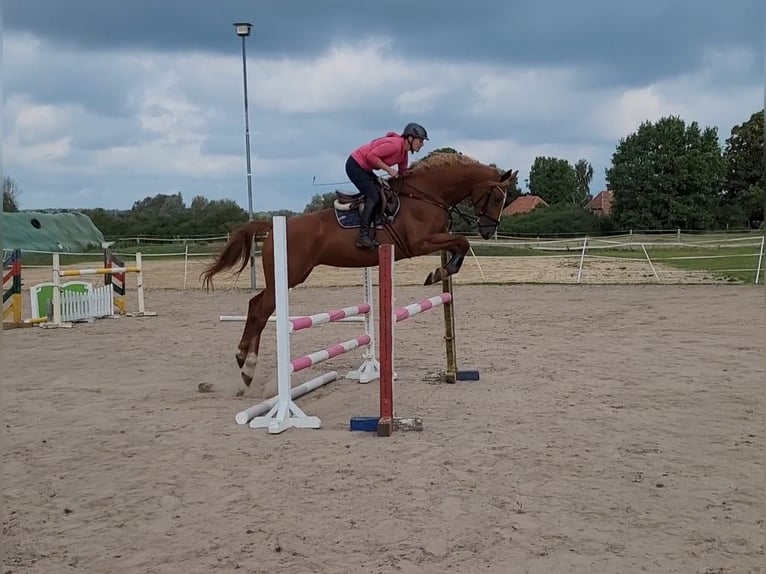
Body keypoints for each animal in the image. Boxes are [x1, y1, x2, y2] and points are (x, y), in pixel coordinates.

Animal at [201, 153, 520, 388]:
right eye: (496, 198)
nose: (488, 231)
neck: (427, 196)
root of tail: (272, 225)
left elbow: (459, 245)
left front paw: (441, 271)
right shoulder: (421, 243)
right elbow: (462, 242)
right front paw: (439, 273)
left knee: (255, 305)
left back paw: (243, 360)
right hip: (290, 275)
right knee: (260, 310)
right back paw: (247, 366)